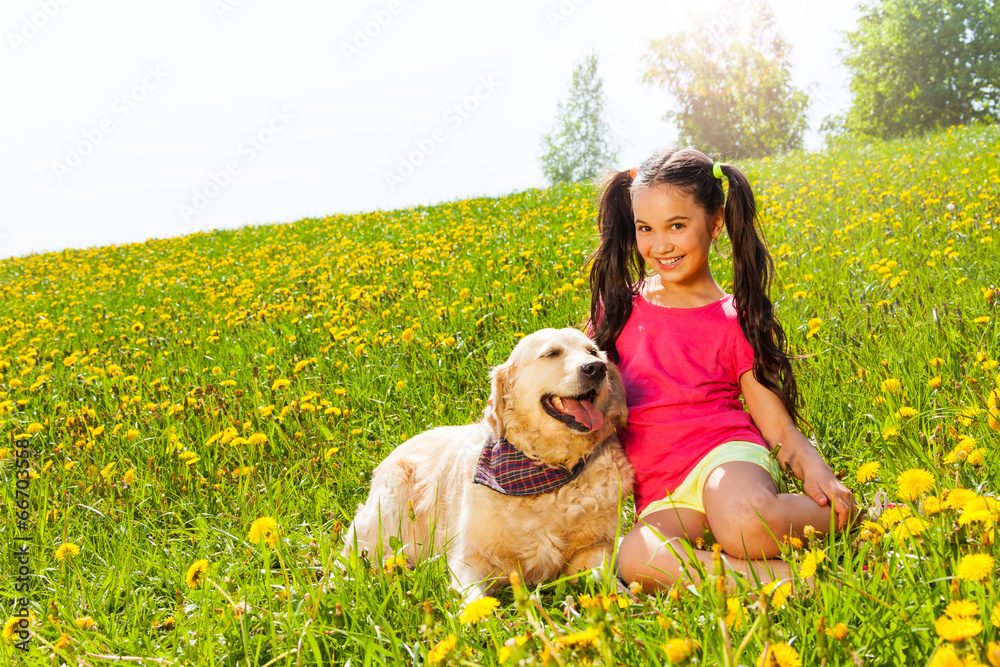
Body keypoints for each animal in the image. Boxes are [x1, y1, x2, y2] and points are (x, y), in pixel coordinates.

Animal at [342, 326, 632, 604]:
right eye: (551, 353)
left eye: (593, 352)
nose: (596, 368)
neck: (545, 469)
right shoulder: (471, 559)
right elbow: (475, 603)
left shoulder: (594, 548)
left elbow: (604, 575)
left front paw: (625, 600)